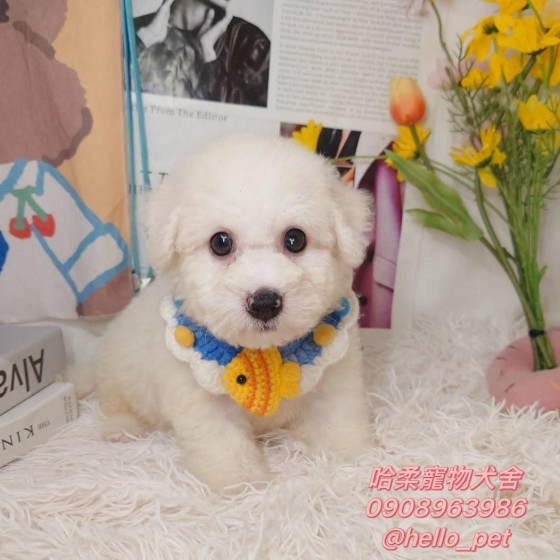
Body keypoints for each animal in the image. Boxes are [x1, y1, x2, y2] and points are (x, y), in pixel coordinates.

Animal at [94, 134, 373, 491]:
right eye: (221, 242)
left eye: (295, 239)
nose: (265, 302)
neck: (266, 351)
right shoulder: (201, 398)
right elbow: (223, 442)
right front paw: (241, 483)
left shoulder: (334, 377)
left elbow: (337, 419)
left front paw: (354, 462)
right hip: (118, 372)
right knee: (116, 402)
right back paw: (120, 428)